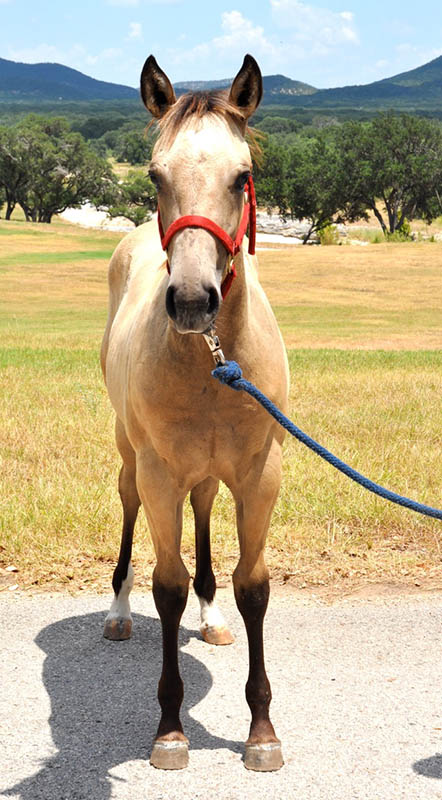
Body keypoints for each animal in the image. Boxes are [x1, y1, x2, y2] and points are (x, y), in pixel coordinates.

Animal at [102, 53, 292, 772]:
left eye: (242, 176)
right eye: (155, 176)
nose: (190, 301)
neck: (210, 361)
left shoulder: (259, 474)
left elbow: (253, 586)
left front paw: (261, 730)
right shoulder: (159, 473)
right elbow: (168, 586)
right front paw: (170, 728)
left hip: (211, 474)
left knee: (206, 512)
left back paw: (211, 619)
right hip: (132, 460)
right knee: (129, 512)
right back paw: (118, 611)